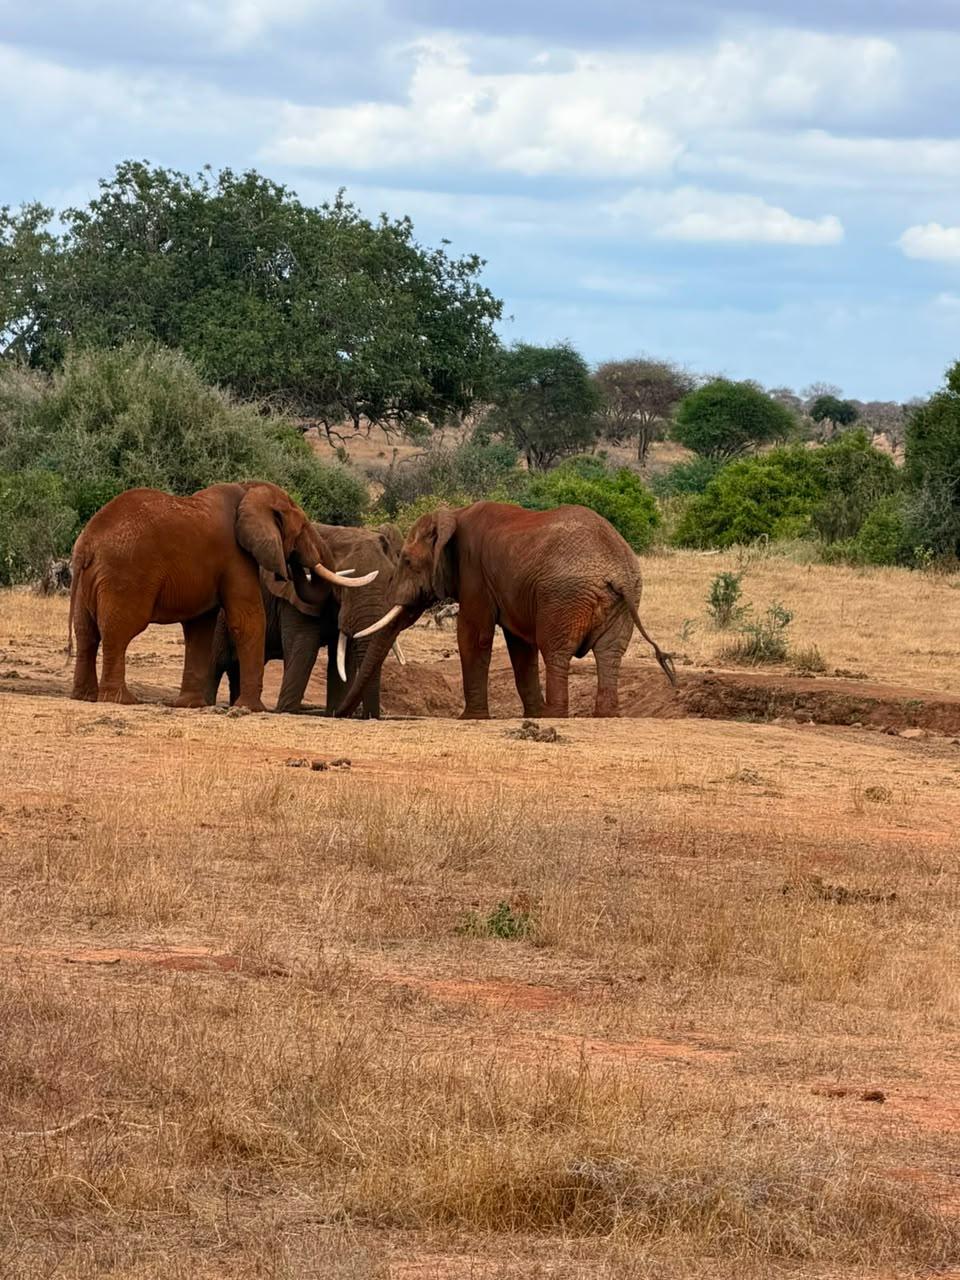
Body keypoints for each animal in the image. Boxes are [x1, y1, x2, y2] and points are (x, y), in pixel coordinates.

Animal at [68, 482, 376, 710]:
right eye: (301, 528)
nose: (291, 568)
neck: (249, 490)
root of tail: (87, 544)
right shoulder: (235, 556)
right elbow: (248, 619)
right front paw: (251, 708)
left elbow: (200, 627)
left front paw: (192, 705)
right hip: (125, 575)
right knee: (118, 632)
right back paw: (121, 700)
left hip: (87, 581)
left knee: (86, 634)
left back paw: (84, 697)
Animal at [207, 523, 406, 717]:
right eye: (343, 587)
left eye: (391, 580)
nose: (367, 715)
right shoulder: (294, 598)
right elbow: (303, 648)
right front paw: (286, 711)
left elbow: (343, 660)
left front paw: (333, 711)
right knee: (216, 664)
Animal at [336, 500, 676, 720]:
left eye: (406, 561)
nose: (338, 715)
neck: (454, 514)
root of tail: (616, 568)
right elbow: (520, 647)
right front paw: (531, 713)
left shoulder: (474, 573)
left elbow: (473, 636)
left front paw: (470, 718)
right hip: (622, 600)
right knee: (609, 653)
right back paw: (604, 715)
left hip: (564, 596)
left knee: (555, 649)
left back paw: (555, 716)